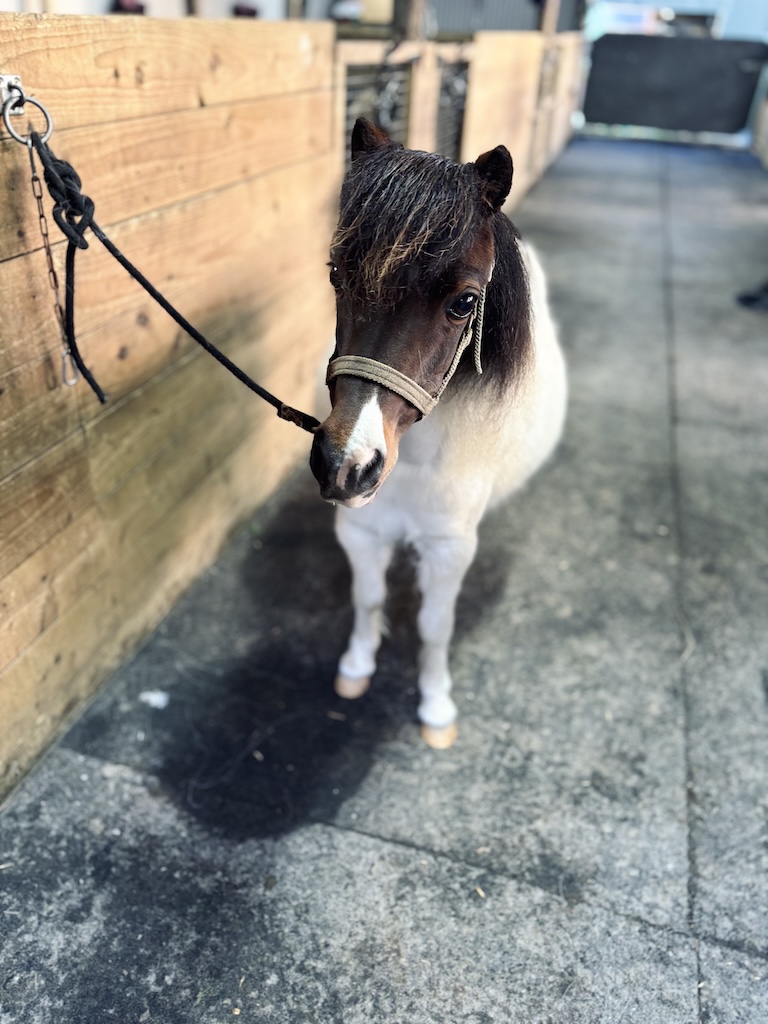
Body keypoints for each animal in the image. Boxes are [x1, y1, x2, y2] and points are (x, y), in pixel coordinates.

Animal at [309, 118, 567, 749]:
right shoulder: (361, 529)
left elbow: (434, 626)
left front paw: (435, 707)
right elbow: (367, 598)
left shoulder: (449, 548)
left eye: (465, 303)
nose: (346, 464)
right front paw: (356, 668)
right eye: (336, 274)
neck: (415, 461)